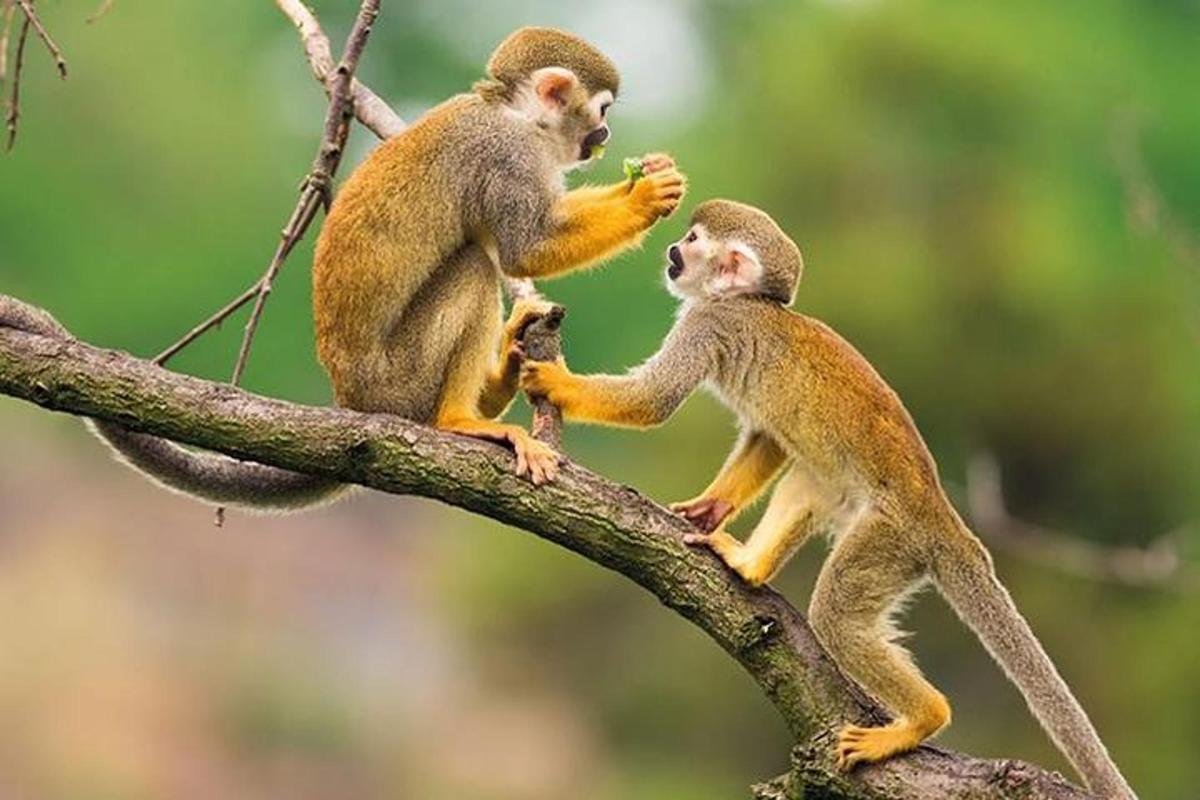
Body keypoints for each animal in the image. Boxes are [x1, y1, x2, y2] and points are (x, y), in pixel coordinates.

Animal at [2, 28, 686, 510]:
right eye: (601, 110)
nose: (604, 135)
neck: (513, 115)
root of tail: (352, 403)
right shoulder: (506, 157)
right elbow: (526, 248)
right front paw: (646, 198)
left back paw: (503, 374)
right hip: (399, 381)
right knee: (473, 264)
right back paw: (462, 419)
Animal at [523, 199, 1132, 796]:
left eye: (693, 241)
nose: (673, 251)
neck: (745, 302)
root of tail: (943, 517)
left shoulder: (709, 324)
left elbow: (654, 401)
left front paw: (556, 383)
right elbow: (768, 438)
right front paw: (711, 507)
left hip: (891, 539)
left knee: (836, 612)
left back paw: (923, 718)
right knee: (809, 478)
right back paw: (750, 565)